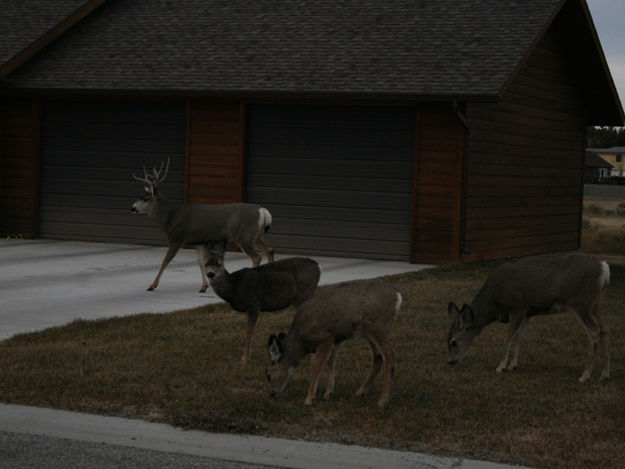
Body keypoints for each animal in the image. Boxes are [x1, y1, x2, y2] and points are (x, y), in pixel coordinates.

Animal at [131, 161, 272, 292]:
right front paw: (204, 286)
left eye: (145, 199)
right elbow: (201, 262)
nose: (132, 208)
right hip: (256, 236)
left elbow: (165, 261)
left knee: (257, 256)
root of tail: (263, 211)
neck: (169, 218)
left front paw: (152, 285)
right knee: (269, 250)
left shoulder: (177, 238)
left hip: (244, 235)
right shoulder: (199, 242)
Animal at [264, 280, 400, 408]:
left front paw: (309, 399)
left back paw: (382, 400)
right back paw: (361, 392)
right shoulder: (336, 338)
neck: (302, 341)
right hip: (369, 332)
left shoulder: (325, 337)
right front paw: (328, 393)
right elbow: (331, 362)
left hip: (378, 327)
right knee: (378, 356)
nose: (272, 393)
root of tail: (397, 296)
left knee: (390, 356)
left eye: (268, 375)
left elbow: (316, 367)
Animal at [446, 252, 612, 380]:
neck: (494, 302)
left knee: (594, 332)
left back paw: (585, 375)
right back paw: (604, 374)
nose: (449, 362)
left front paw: (501, 366)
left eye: (453, 341)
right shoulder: (528, 311)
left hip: (580, 302)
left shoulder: (518, 306)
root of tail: (604, 268)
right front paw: (512, 365)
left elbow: (509, 337)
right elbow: (518, 336)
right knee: (604, 330)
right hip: (594, 306)